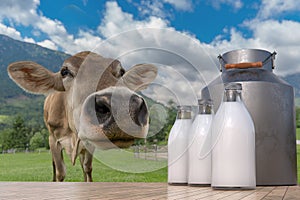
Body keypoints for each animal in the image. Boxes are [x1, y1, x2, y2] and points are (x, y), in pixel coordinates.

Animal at [7, 51, 157, 181]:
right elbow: (60, 172)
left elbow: (87, 168)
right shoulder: (53, 139)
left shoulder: (88, 144)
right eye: (64, 72)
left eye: (121, 72)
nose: (121, 107)